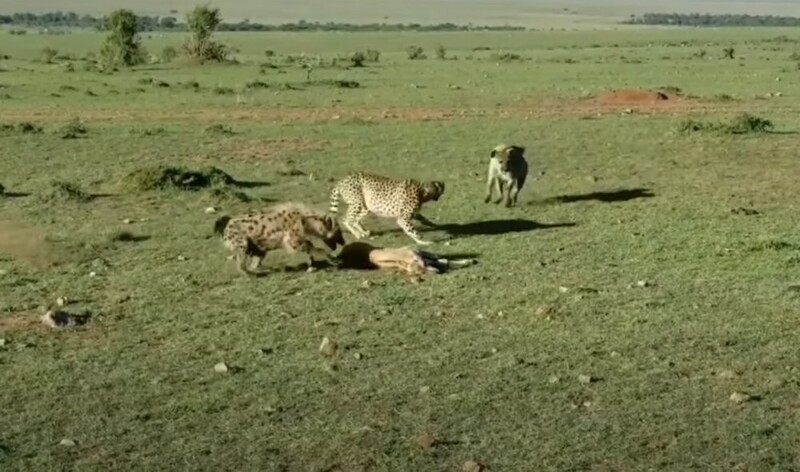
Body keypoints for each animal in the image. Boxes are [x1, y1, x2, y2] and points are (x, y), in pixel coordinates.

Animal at [214, 203, 346, 276]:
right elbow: (316, 249)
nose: (344, 242)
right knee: (241, 264)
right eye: (339, 231)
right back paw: (251, 275)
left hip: (256, 248)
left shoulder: (295, 241)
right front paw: (333, 260)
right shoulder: (293, 241)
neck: (306, 220)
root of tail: (225, 224)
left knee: (252, 264)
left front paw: (311, 266)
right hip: (243, 243)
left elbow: (311, 249)